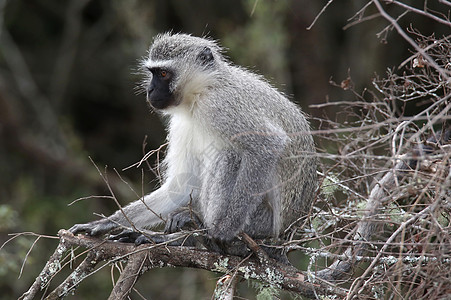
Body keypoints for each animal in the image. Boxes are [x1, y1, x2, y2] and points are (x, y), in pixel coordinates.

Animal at [69, 31, 318, 258]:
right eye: (152, 73)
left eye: (163, 73)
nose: (150, 90)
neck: (199, 94)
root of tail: (285, 239)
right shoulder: (181, 123)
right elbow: (180, 186)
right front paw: (107, 223)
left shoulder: (220, 106)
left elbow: (268, 144)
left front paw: (223, 230)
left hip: (261, 223)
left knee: (230, 156)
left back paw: (206, 233)